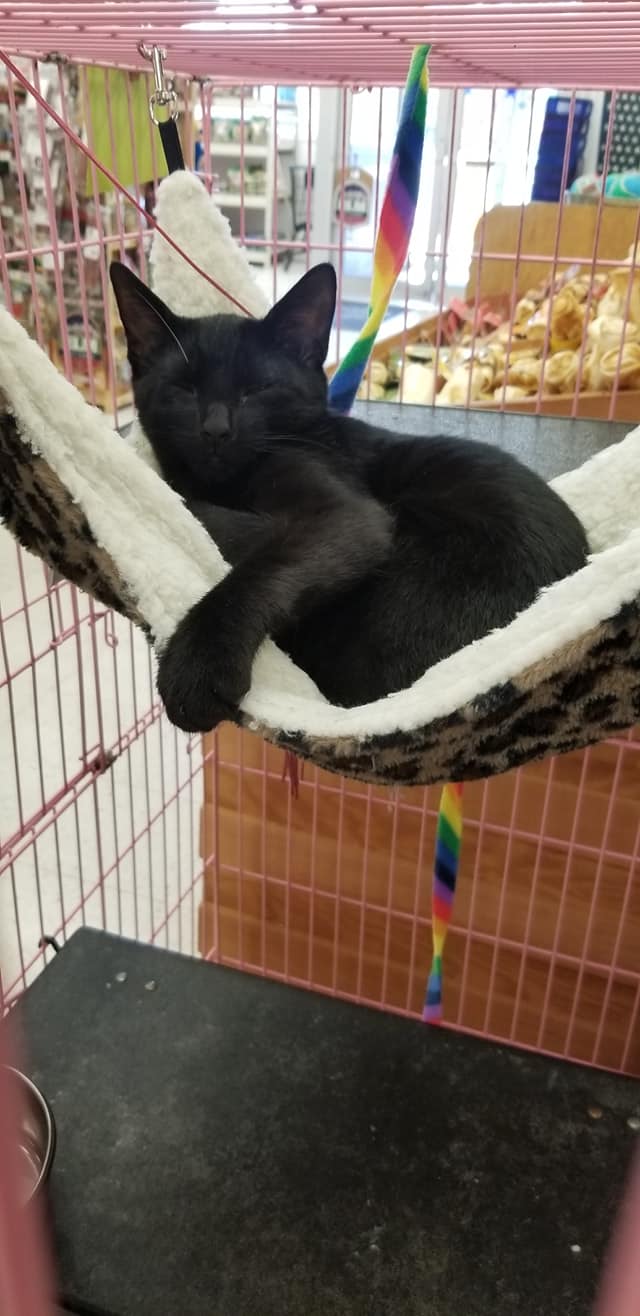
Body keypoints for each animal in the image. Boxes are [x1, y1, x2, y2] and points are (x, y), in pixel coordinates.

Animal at [110, 261, 589, 733]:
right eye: (183, 389)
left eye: (258, 389)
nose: (215, 429)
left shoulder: (348, 515)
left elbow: (263, 560)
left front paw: (196, 664)